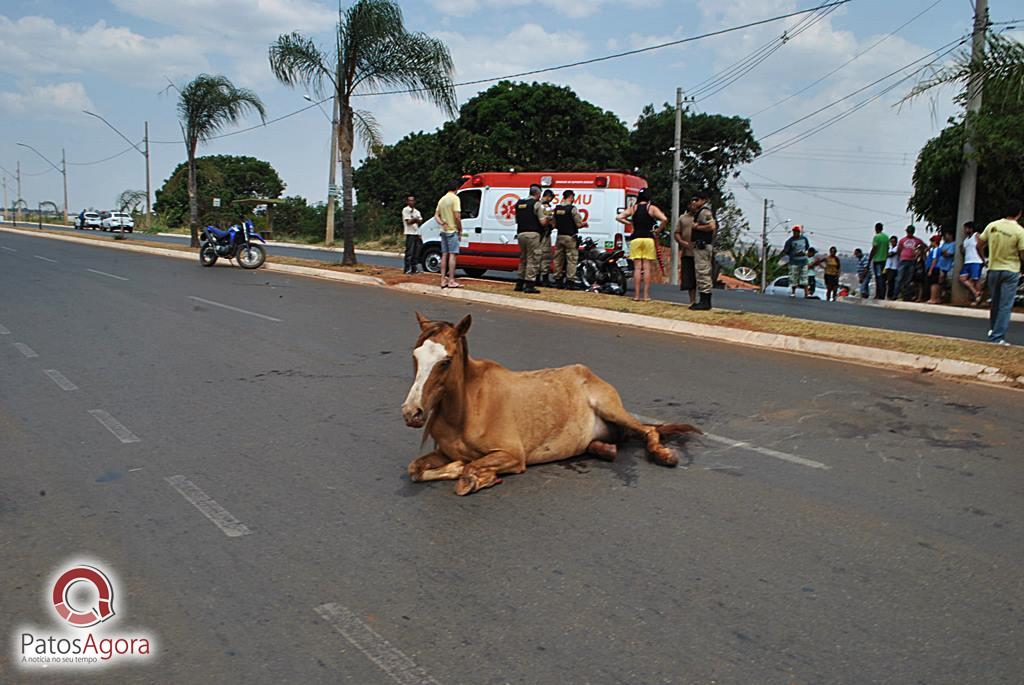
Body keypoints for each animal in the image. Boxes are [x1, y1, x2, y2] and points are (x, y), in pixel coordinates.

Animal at [401, 313, 704, 493]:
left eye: (446, 361)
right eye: (415, 355)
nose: (411, 413)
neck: (467, 410)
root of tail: (588, 373)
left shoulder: (512, 455)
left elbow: (469, 471)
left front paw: (473, 475)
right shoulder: (443, 452)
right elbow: (415, 469)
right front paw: (455, 468)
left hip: (611, 408)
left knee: (648, 430)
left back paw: (663, 454)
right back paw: (605, 449)